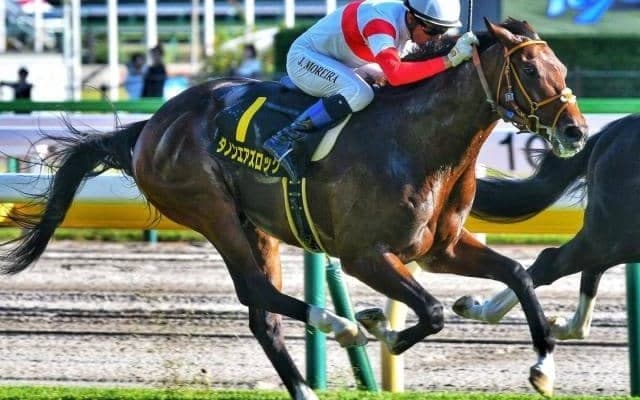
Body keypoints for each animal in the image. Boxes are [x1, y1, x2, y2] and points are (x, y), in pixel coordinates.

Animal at [1, 18, 587, 399]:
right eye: (529, 70)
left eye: (561, 66)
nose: (575, 131)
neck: (418, 142)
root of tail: (152, 125)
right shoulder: (362, 256)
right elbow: (433, 312)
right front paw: (379, 327)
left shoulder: (438, 249)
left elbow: (516, 273)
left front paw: (543, 365)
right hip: (211, 211)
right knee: (257, 293)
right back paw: (341, 324)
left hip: (255, 226)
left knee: (262, 315)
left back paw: (310, 380)